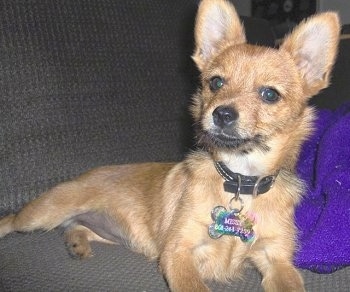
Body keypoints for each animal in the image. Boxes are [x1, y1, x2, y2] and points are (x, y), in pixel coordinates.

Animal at [0, 0, 340, 292]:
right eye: (215, 82)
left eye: (270, 94)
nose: (222, 113)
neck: (240, 180)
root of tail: (81, 176)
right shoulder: (178, 252)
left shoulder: (277, 260)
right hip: (40, 215)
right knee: (10, 221)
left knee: (75, 228)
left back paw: (76, 243)